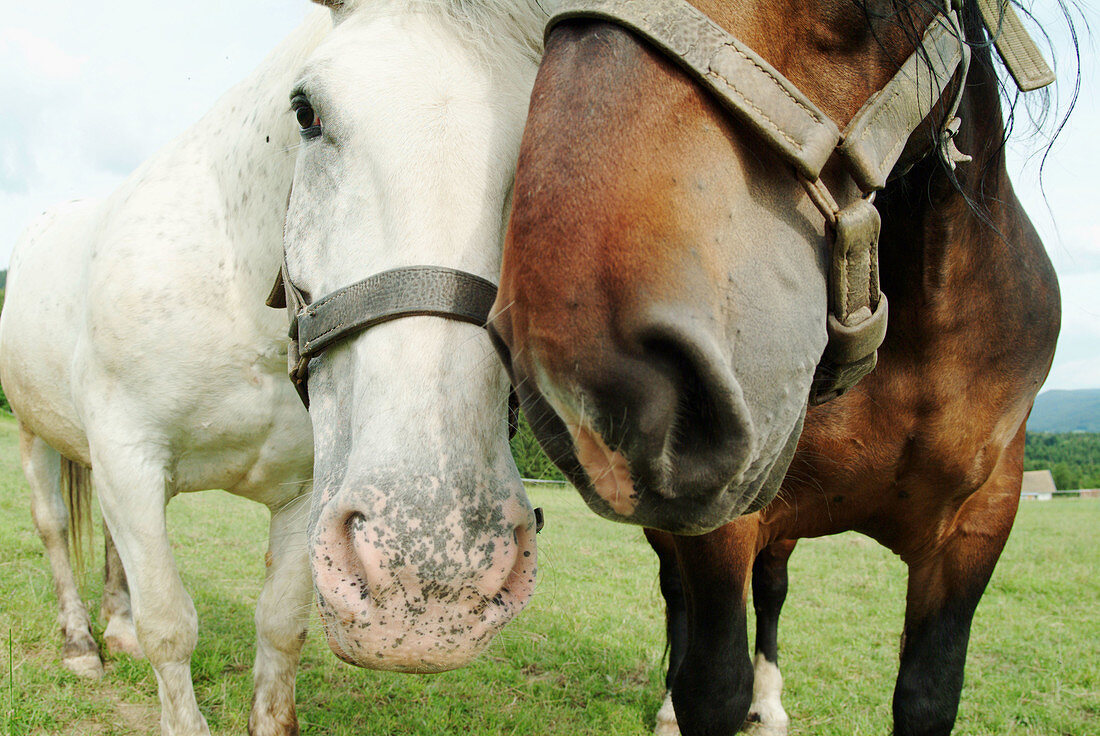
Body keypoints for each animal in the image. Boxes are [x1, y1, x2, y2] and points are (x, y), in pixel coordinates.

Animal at [0, 1, 545, 730]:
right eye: (306, 111)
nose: (435, 571)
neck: (231, 291)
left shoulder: (304, 494)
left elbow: (281, 626)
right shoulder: (130, 460)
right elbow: (169, 625)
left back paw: (113, 626)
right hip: (38, 436)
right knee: (55, 530)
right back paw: (82, 643)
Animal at [492, 1, 1064, 734]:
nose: (582, 365)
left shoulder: (980, 521)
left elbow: (928, 694)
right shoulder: (723, 518)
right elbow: (713, 685)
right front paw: (688, 701)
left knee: (771, 588)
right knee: (678, 595)